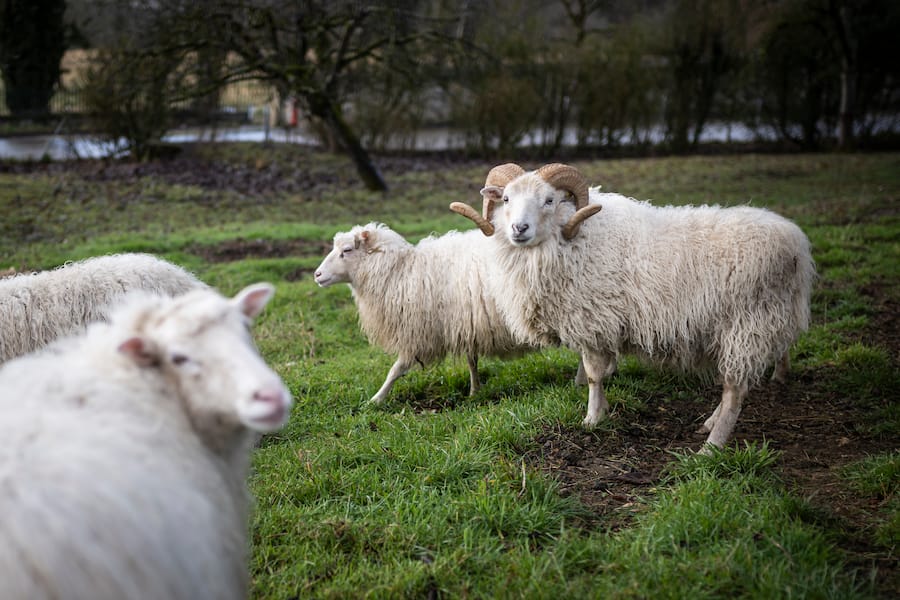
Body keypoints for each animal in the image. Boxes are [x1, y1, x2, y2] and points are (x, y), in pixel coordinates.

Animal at [314, 222, 541, 403]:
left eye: (347, 250)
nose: (317, 274)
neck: (401, 272)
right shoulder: (465, 325)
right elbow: (472, 361)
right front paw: (475, 391)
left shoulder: (418, 333)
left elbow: (396, 369)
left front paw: (375, 400)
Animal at [450, 163, 815, 449]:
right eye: (506, 199)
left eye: (549, 200)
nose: (519, 229)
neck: (573, 239)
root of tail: (797, 244)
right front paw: (601, 412)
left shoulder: (593, 320)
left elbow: (594, 376)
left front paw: (592, 418)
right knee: (732, 387)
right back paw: (709, 425)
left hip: (748, 324)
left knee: (735, 391)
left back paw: (711, 447)